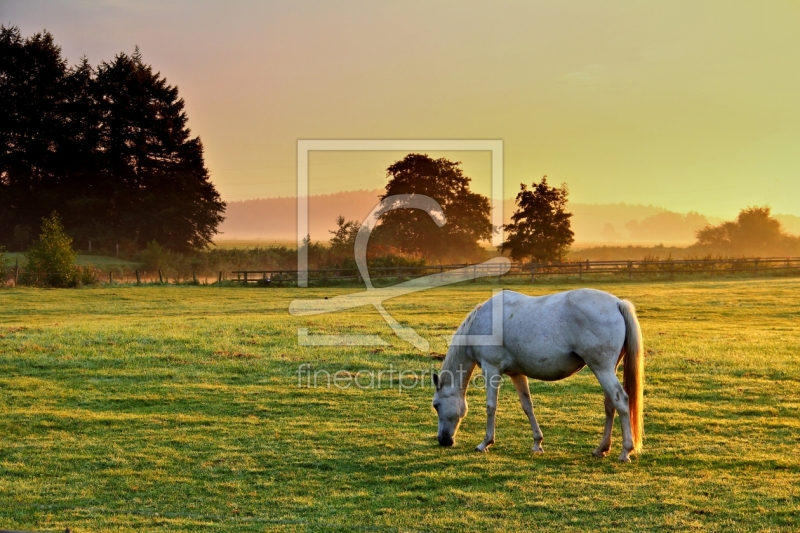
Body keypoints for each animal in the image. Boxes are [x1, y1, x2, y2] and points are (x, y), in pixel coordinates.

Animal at [432, 288, 644, 460]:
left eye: (436, 405)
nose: (443, 440)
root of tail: (617, 303)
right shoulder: (517, 373)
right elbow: (527, 406)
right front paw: (537, 443)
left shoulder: (491, 369)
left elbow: (491, 406)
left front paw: (485, 443)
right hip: (606, 369)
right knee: (610, 404)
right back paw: (602, 448)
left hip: (602, 369)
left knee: (621, 400)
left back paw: (626, 451)